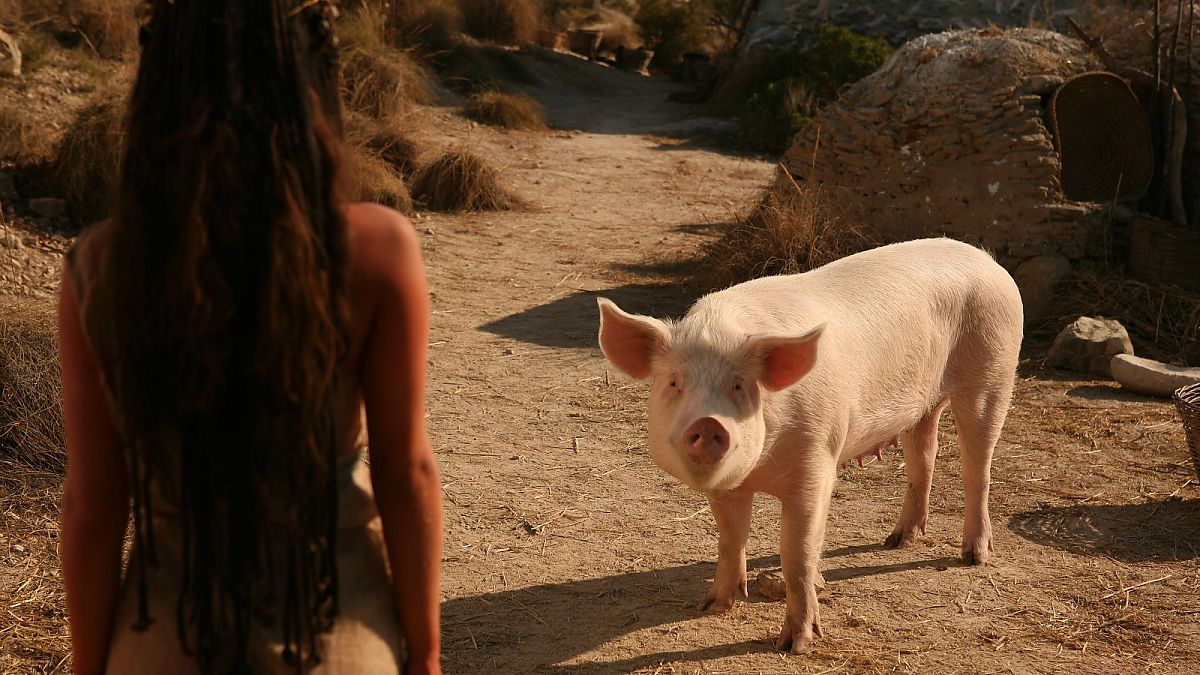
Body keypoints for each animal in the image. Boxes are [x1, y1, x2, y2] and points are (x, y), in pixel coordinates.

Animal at [596, 238, 1023, 654]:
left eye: (739, 385)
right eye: (673, 382)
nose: (708, 423)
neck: (762, 469)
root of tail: (988, 261)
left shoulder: (817, 462)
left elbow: (797, 553)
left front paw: (794, 644)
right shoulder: (728, 486)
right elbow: (731, 537)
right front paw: (712, 605)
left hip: (993, 373)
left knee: (978, 466)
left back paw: (972, 556)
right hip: (924, 403)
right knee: (924, 456)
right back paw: (897, 541)